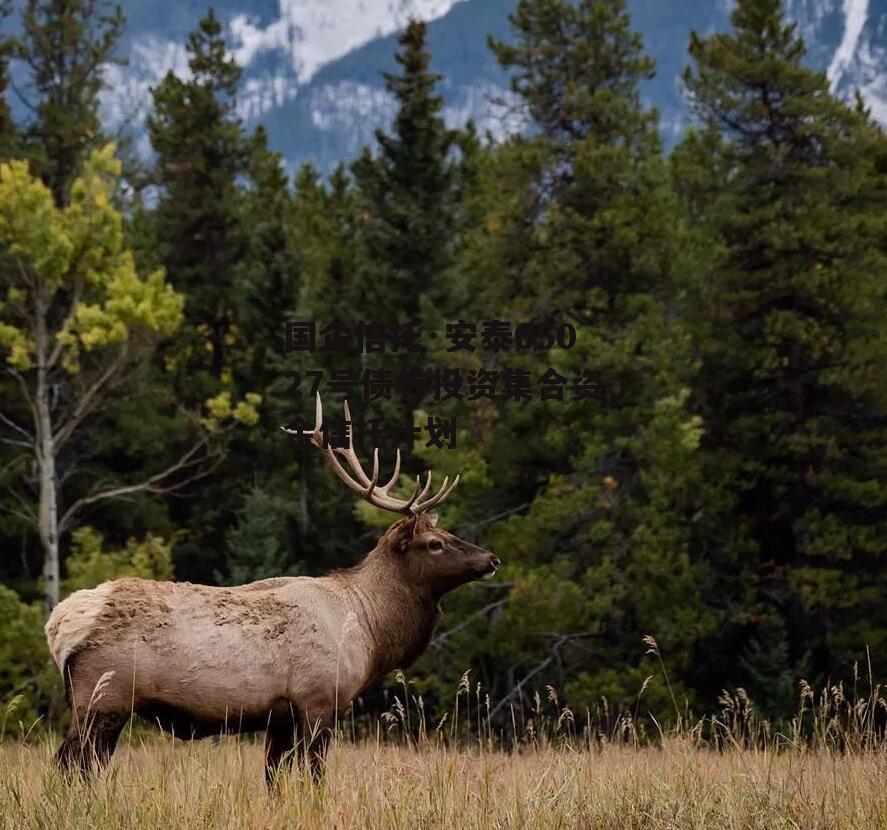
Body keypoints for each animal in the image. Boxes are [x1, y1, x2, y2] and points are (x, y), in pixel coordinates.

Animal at [45, 396, 500, 788]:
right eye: (435, 543)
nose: (491, 559)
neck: (370, 633)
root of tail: (58, 625)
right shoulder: (318, 699)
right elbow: (313, 777)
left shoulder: (279, 715)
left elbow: (273, 779)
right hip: (103, 697)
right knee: (70, 765)